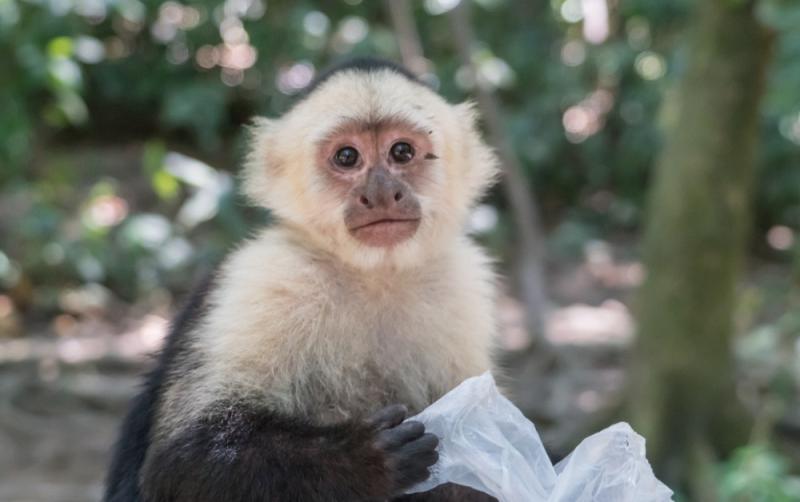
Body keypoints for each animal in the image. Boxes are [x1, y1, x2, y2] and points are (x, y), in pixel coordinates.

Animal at [104, 58, 501, 502]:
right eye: (347, 156)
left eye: (402, 151)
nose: (381, 193)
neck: (374, 275)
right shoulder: (264, 274)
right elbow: (184, 458)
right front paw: (364, 460)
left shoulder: (463, 282)